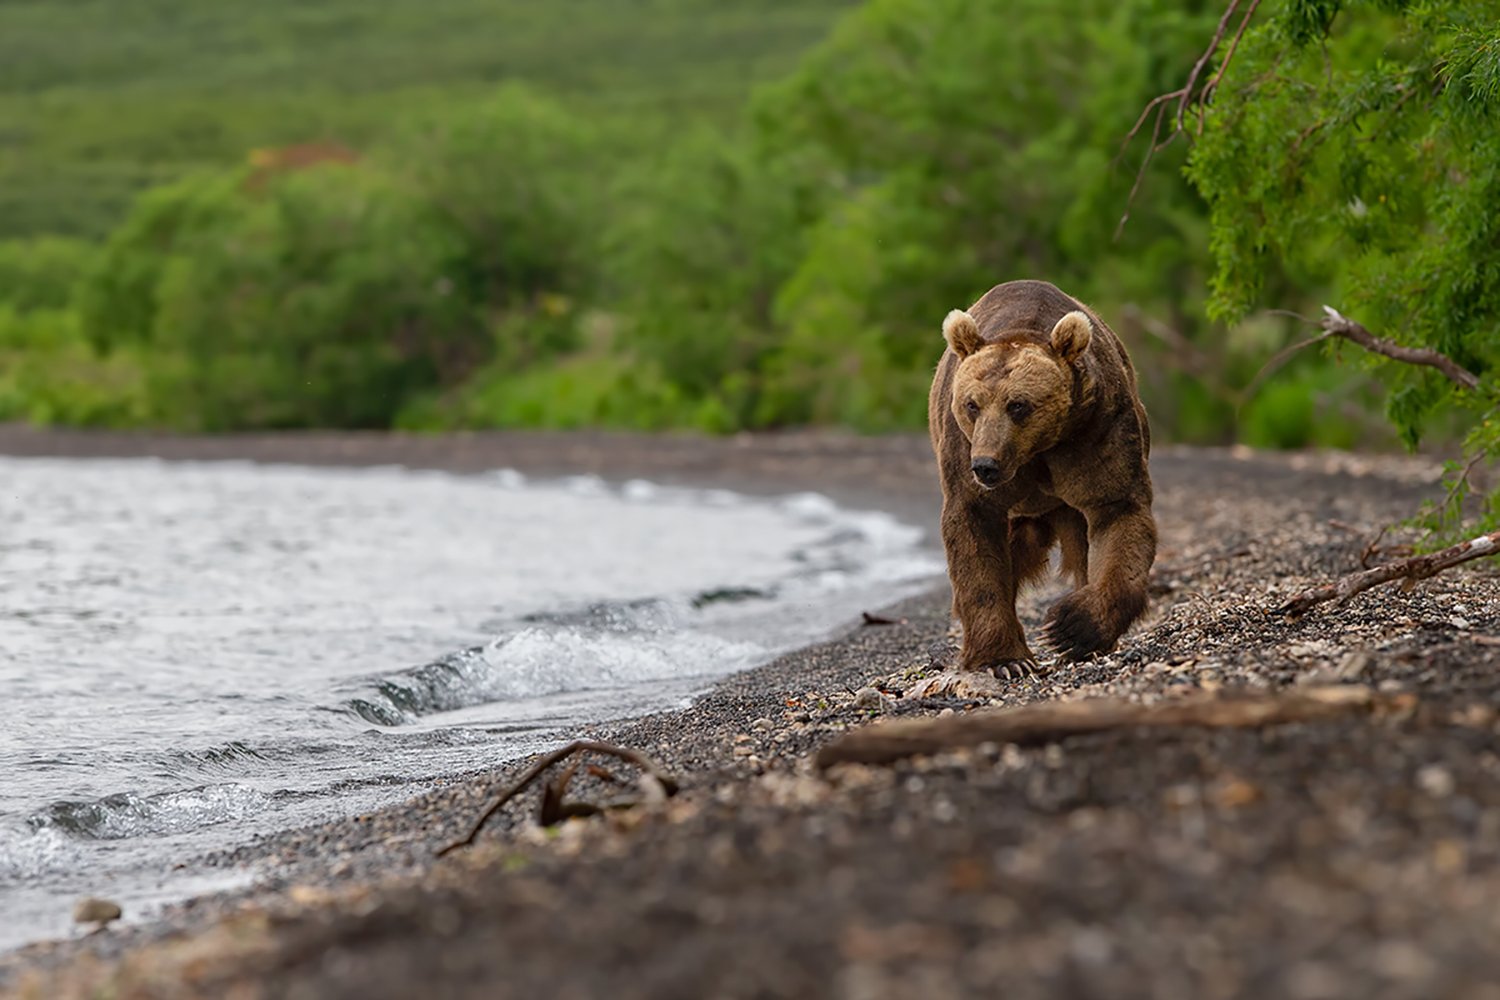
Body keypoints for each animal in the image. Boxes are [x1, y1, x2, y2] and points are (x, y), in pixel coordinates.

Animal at [924, 280, 1158, 680]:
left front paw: (1070, 628)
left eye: (1018, 405)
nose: (984, 465)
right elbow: (974, 536)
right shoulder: (963, 452)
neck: (1036, 451)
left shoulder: (1097, 431)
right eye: (972, 404)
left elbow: (1118, 512)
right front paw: (1005, 660)